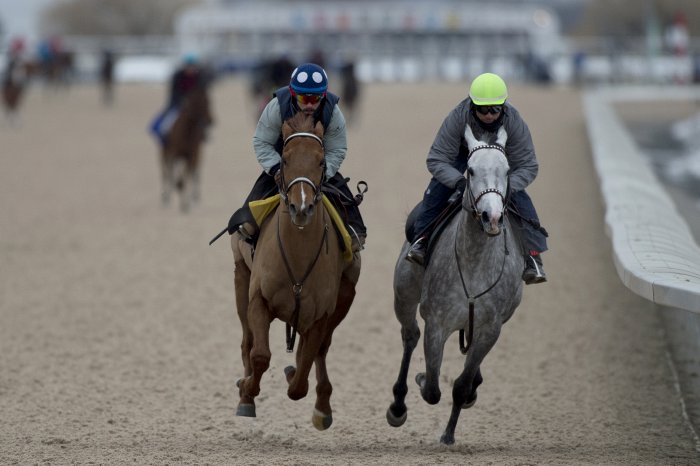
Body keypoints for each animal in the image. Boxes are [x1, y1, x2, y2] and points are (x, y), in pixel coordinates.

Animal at [160, 85, 212, 213]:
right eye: (200, 103)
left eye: (209, 101)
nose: (211, 120)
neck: (186, 131)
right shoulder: (173, 153)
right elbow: (175, 177)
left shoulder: (192, 155)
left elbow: (187, 176)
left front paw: (186, 203)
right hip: (164, 153)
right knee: (165, 173)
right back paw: (165, 197)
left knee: (193, 174)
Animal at [231, 112, 360, 430]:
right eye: (286, 159)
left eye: (321, 161)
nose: (301, 208)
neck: (298, 256)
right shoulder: (259, 299)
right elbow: (260, 355)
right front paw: (246, 392)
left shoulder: (320, 316)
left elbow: (301, 378)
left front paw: (295, 379)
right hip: (240, 279)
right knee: (247, 341)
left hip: (344, 298)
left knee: (317, 352)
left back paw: (322, 406)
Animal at [386, 124, 524, 444]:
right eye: (471, 171)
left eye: (507, 170)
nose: (492, 217)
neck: (475, 264)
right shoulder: (437, 322)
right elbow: (432, 389)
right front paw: (422, 378)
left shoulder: (490, 328)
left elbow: (460, 386)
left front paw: (449, 433)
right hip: (404, 294)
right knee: (410, 335)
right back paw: (398, 405)